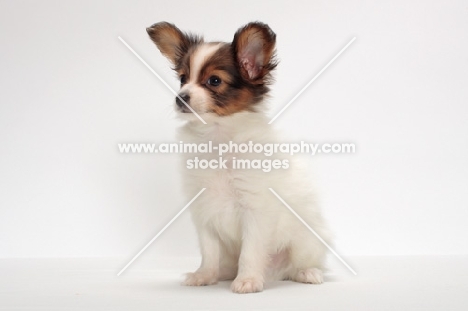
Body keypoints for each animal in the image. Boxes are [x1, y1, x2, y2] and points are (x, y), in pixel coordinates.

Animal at [148, 22, 330, 294]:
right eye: (182, 79)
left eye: (214, 81)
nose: (180, 97)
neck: (217, 137)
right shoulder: (204, 210)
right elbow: (209, 251)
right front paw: (205, 275)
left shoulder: (255, 209)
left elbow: (250, 251)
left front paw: (248, 280)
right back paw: (223, 273)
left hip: (305, 242)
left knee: (299, 264)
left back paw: (307, 273)